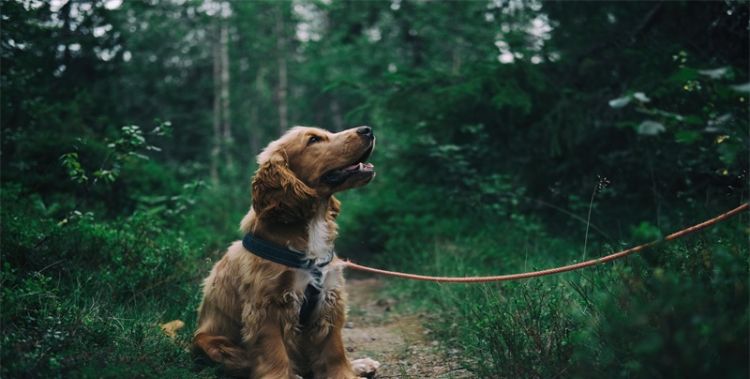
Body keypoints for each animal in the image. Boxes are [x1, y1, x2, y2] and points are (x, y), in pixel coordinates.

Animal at [195, 127, 382, 379]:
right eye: (314, 139)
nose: (367, 130)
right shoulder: (266, 306)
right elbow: (275, 353)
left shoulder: (330, 297)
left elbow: (334, 349)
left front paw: (345, 373)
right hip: (214, 345)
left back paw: (361, 364)